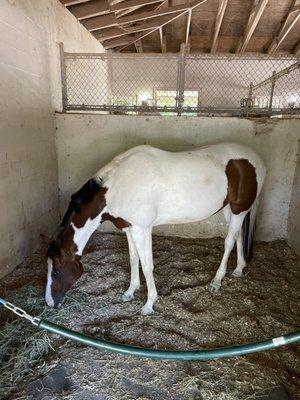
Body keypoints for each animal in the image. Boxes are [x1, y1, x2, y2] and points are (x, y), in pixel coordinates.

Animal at [44, 142, 264, 314]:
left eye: (56, 272)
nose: (49, 303)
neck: (118, 185)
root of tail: (257, 159)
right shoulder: (129, 228)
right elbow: (134, 260)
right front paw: (130, 292)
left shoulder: (142, 230)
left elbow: (147, 265)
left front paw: (149, 304)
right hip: (230, 209)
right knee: (237, 236)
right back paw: (239, 269)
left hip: (239, 210)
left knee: (228, 242)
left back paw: (217, 281)